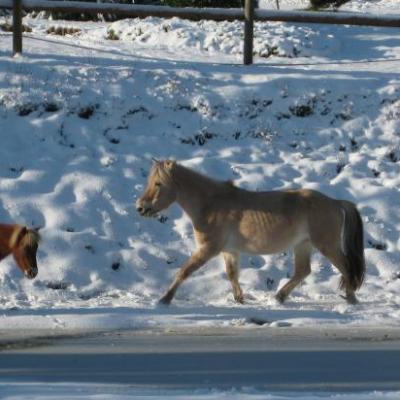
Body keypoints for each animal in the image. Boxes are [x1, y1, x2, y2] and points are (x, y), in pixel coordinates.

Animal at [138, 159, 366, 306]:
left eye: (158, 183)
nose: (140, 207)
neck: (211, 204)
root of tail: (335, 202)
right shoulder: (229, 251)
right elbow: (232, 274)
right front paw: (240, 299)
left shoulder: (207, 249)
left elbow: (184, 271)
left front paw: (164, 299)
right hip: (303, 245)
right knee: (303, 271)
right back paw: (279, 297)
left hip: (326, 245)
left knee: (346, 267)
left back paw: (351, 298)